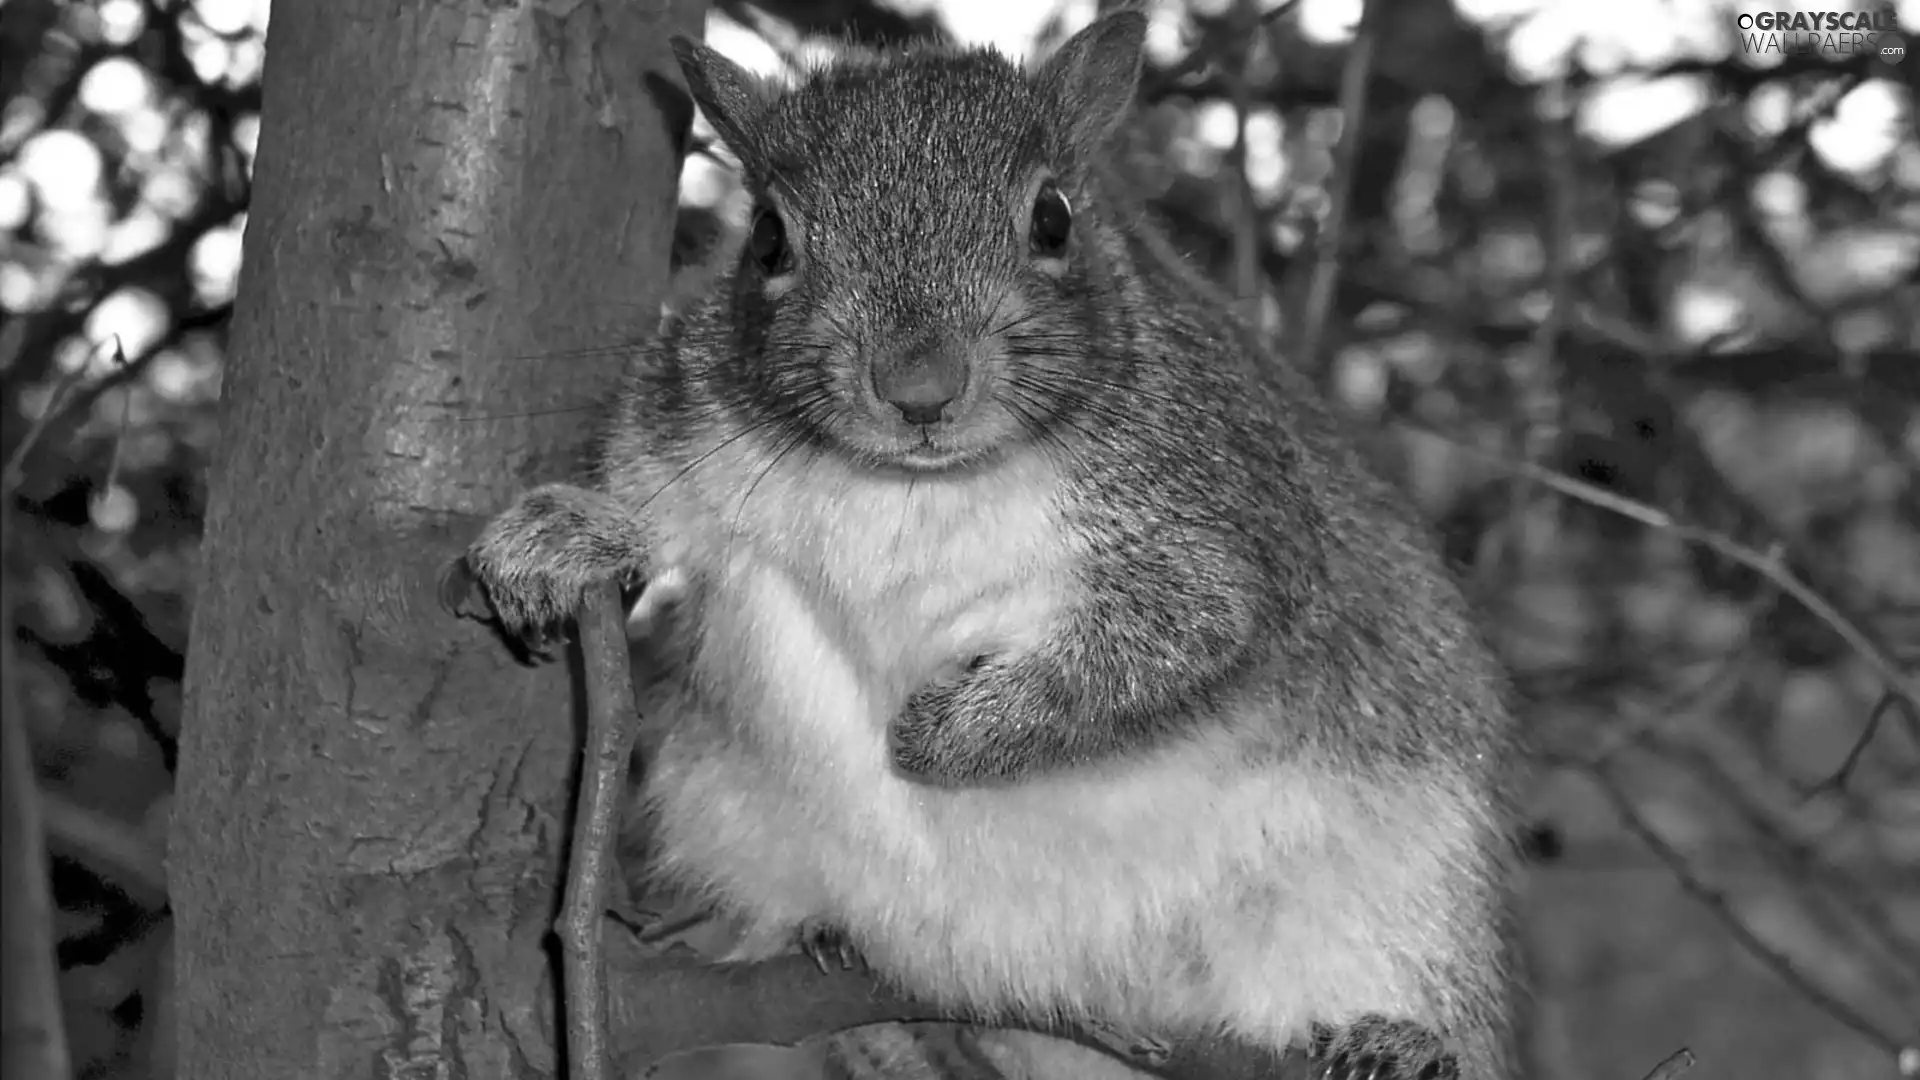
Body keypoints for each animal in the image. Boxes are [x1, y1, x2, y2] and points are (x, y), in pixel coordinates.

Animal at [441, 10, 1520, 1076]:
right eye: (769, 238)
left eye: (1054, 219)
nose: (919, 387)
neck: (915, 488)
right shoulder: (683, 423)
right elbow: (645, 507)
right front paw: (559, 538)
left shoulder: (1219, 515)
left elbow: (1175, 641)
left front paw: (950, 731)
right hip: (727, 819)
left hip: (1397, 899)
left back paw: (1397, 1042)